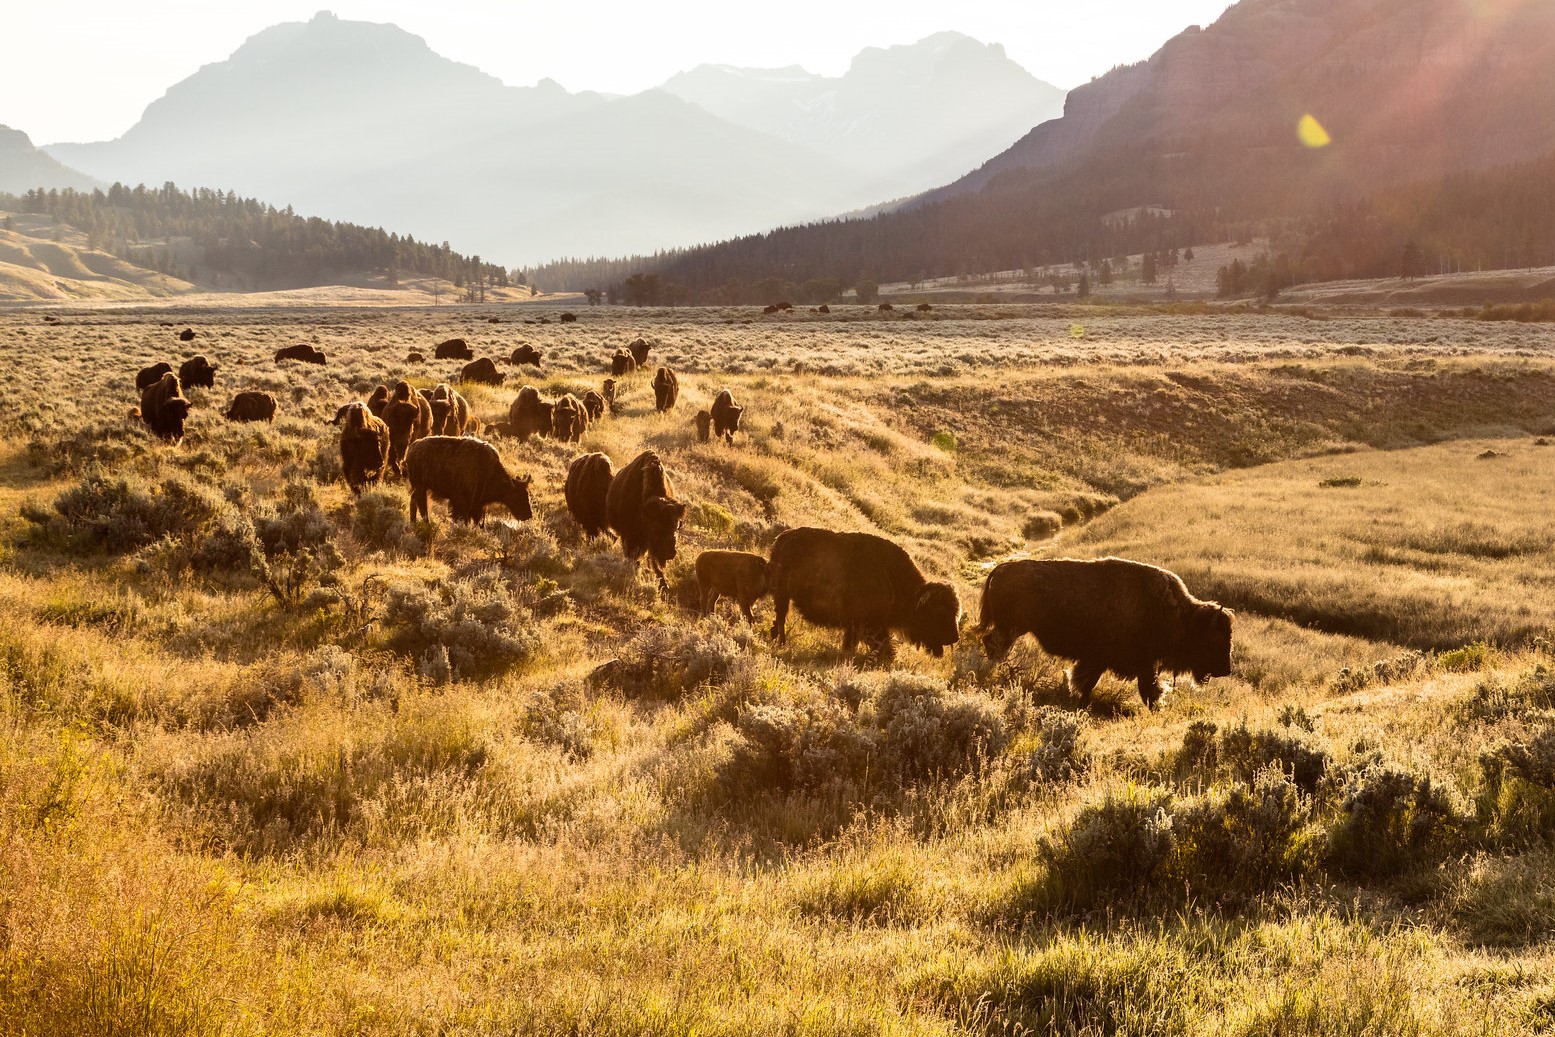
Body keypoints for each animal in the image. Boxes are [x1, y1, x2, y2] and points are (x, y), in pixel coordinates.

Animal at [765, 528, 957, 665]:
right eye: (938, 612)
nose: (954, 637)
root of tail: (782, 538)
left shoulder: (856, 624)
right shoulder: (868, 624)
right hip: (782, 595)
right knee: (781, 617)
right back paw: (781, 642)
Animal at [976, 559, 1231, 715]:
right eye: (1214, 638)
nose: (1226, 669)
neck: (1180, 616)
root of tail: (1002, 568)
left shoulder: (1111, 662)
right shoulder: (1131, 663)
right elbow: (1145, 690)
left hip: (1012, 628)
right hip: (1011, 628)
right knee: (994, 645)